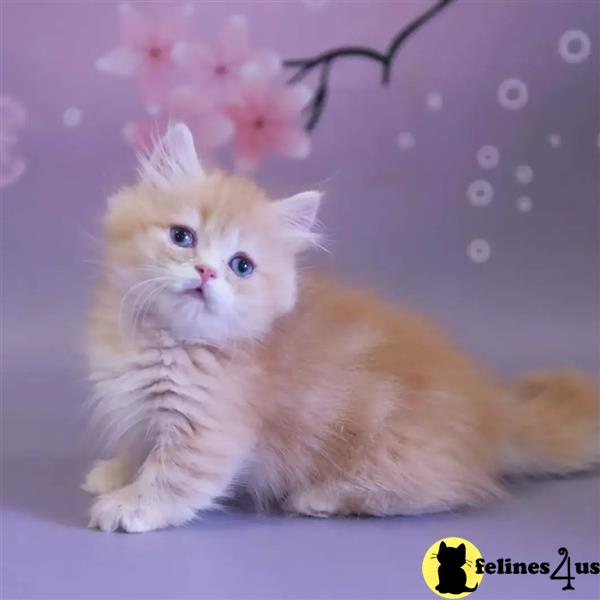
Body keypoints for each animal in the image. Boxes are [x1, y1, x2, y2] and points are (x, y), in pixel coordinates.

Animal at [85, 123, 600, 536]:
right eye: (182, 236)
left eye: (241, 266)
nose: (206, 272)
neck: (161, 340)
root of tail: (496, 410)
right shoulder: (142, 411)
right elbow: (138, 446)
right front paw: (115, 473)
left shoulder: (208, 430)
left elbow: (172, 478)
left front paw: (130, 505)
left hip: (393, 451)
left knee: (439, 491)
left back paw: (323, 497)